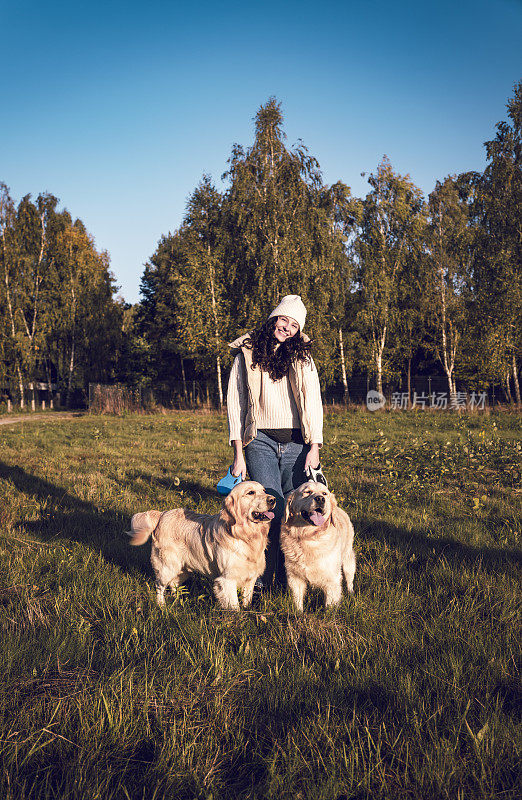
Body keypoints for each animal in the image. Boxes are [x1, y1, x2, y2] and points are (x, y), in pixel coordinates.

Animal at [127, 484, 272, 608]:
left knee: (173, 584)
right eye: (250, 492)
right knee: (159, 585)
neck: (245, 536)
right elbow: (234, 606)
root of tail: (162, 514)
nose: (273, 500)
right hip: (167, 566)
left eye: (264, 490)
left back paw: (177, 601)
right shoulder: (227, 579)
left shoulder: (250, 578)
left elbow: (246, 600)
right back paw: (161, 605)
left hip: (182, 569)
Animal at [280, 482, 354, 612]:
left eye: (324, 493)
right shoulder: (294, 577)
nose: (320, 499)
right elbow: (297, 600)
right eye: (307, 492)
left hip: (347, 558)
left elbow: (330, 605)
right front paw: (298, 613)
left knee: (350, 578)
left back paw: (351, 593)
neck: (308, 537)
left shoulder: (332, 579)